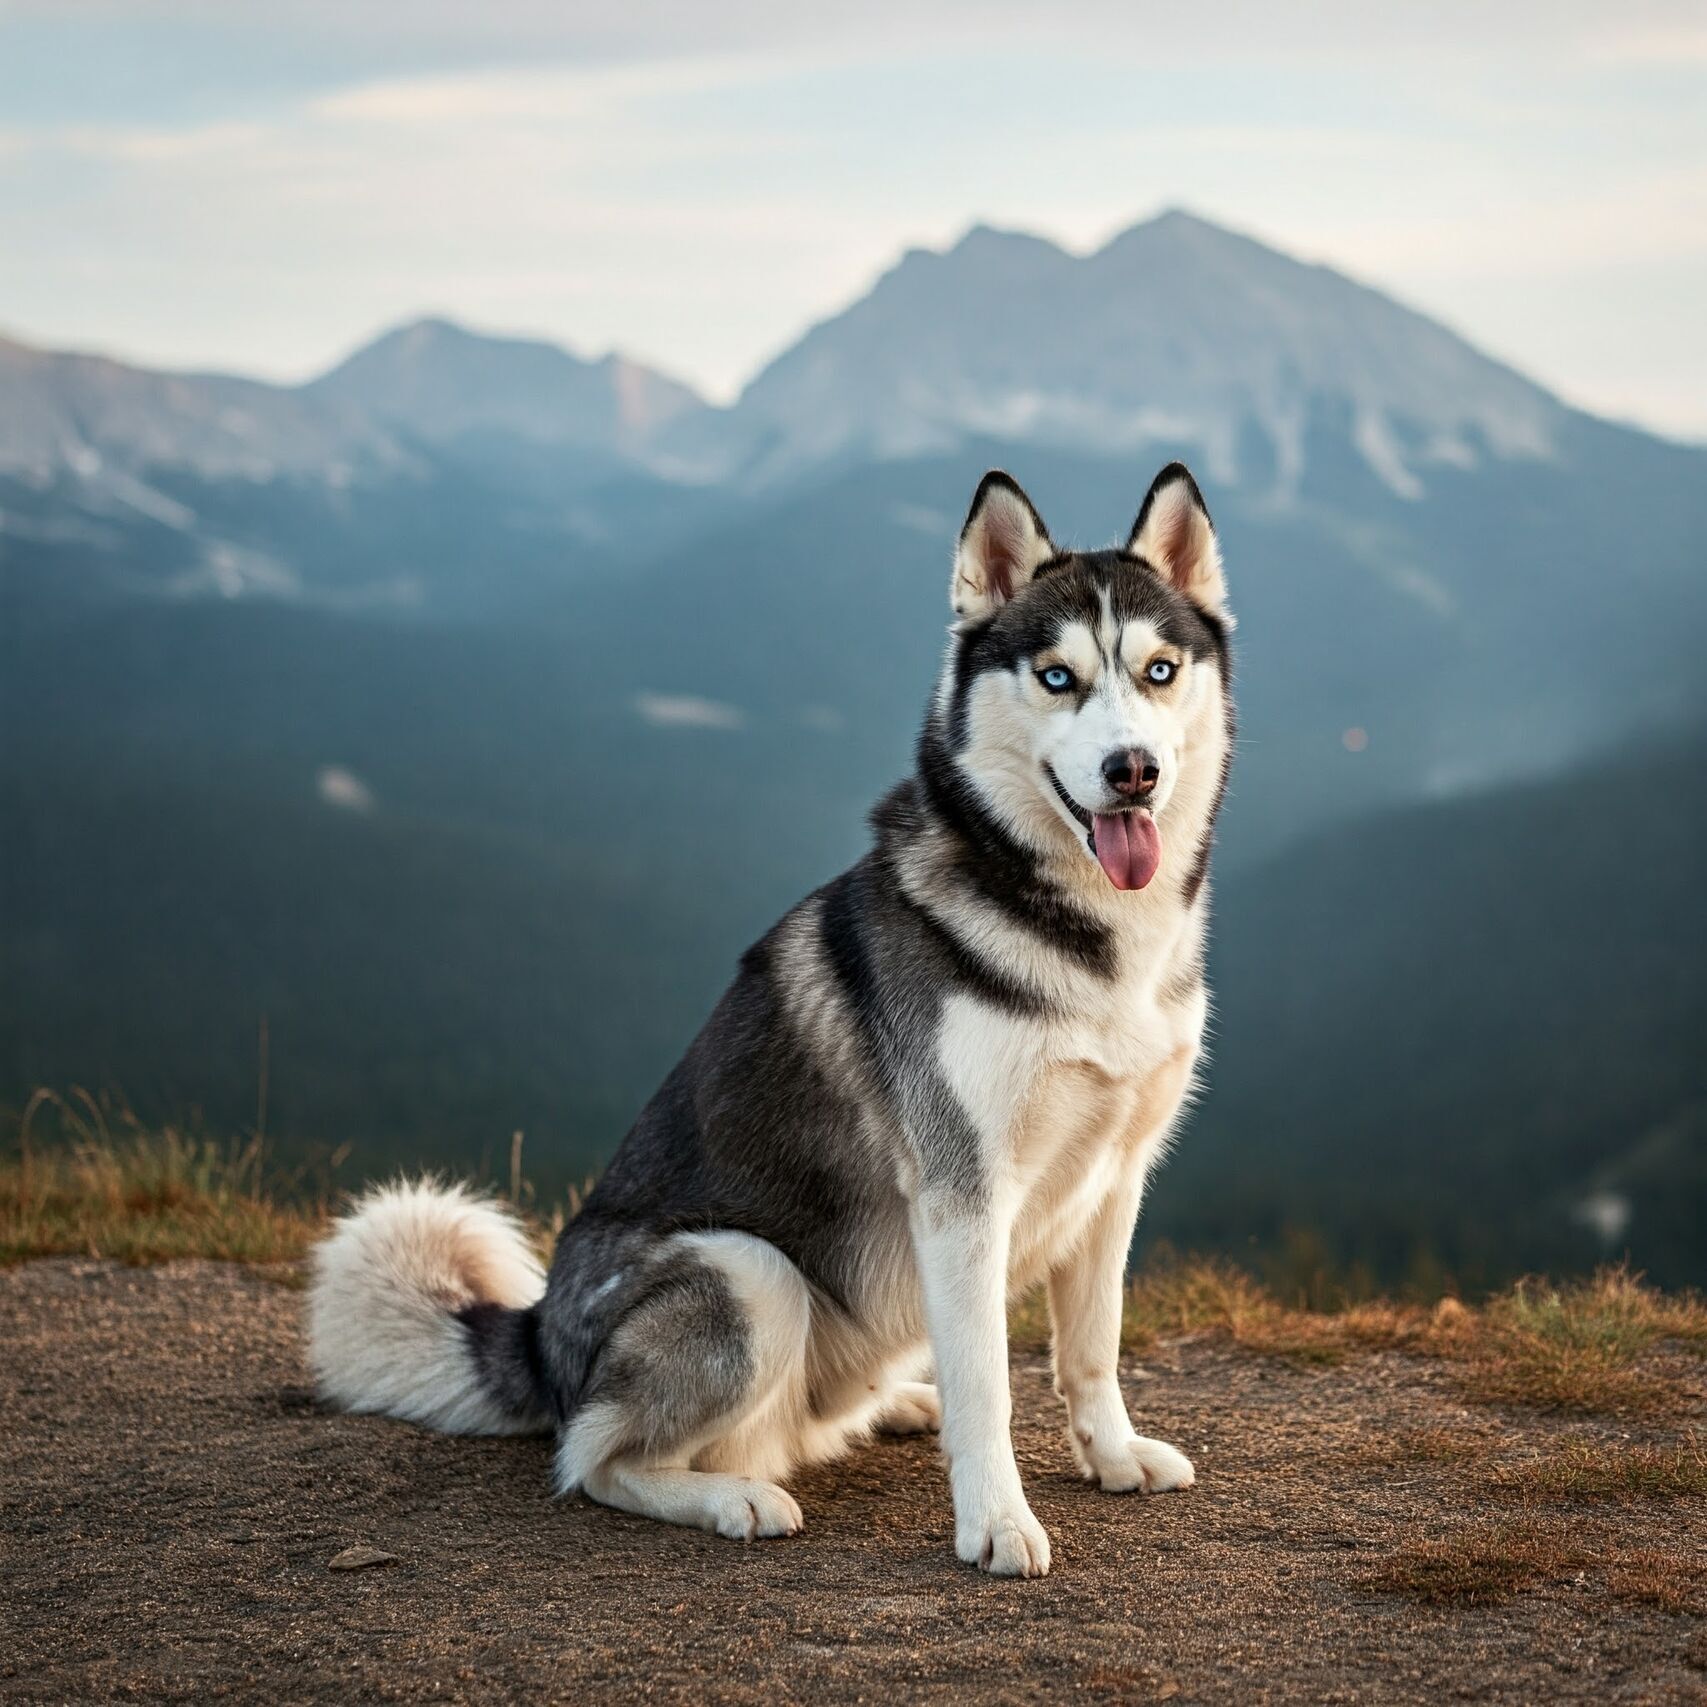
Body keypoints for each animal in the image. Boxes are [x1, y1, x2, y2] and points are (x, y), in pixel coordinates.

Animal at [314, 460, 1235, 1577]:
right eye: (1056, 677)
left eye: (1158, 670)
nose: (1131, 770)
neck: (1084, 939)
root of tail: (540, 1339)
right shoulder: (962, 1194)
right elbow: (989, 1386)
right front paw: (996, 1520)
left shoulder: (1115, 1172)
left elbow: (1090, 1349)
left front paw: (1111, 1455)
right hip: (752, 1275)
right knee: (594, 1458)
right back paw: (733, 1497)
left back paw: (893, 1404)